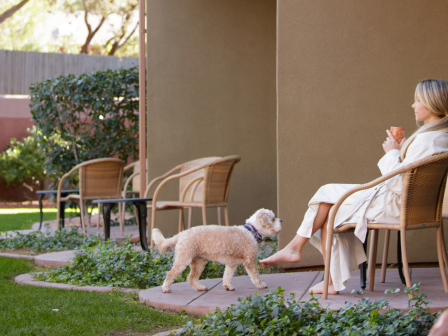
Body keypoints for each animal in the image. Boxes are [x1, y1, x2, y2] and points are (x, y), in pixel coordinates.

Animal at [152, 209, 282, 292]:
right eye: (273, 218)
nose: (281, 220)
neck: (251, 231)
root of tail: (181, 234)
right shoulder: (249, 260)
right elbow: (255, 275)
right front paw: (261, 285)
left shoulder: (231, 263)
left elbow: (227, 276)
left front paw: (228, 286)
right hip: (183, 259)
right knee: (170, 274)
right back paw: (165, 288)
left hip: (199, 262)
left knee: (191, 278)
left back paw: (200, 288)